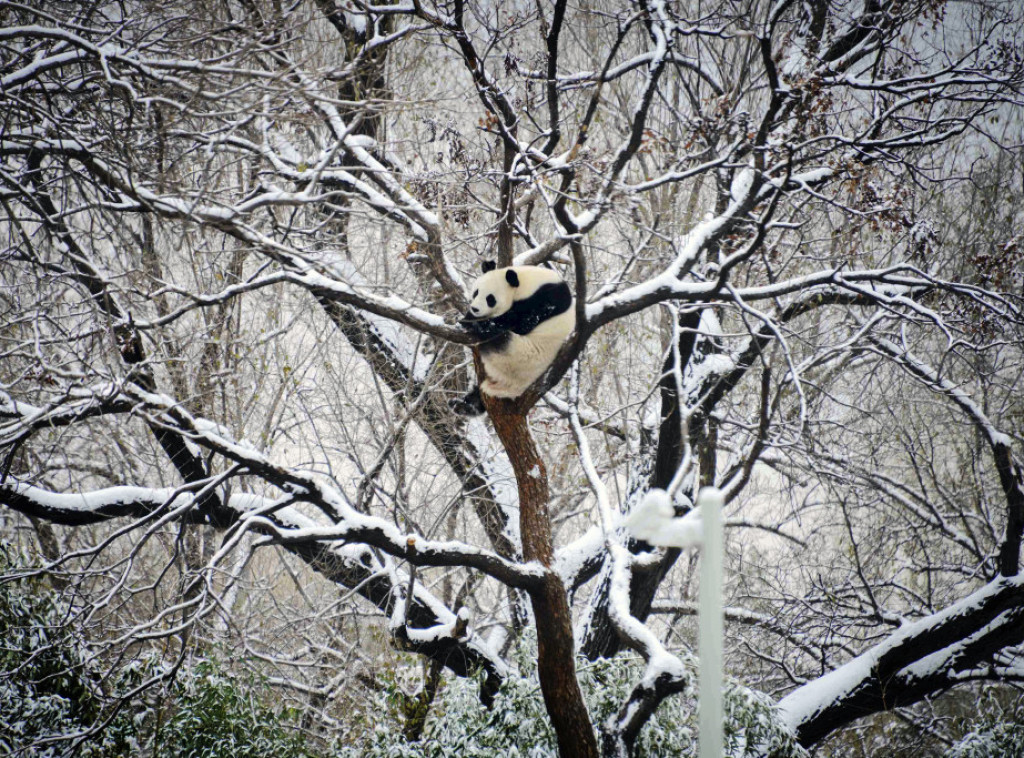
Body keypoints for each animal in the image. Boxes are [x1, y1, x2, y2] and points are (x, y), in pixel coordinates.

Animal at [454, 260, 577, 413]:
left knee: (499, 338)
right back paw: (465, 404)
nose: (475, 309)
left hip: (519, 356)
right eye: (476, 292)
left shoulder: (545, 299)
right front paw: (467, 319)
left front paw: (477, 322)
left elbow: (522, 322)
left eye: (490, 299)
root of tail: (513, 388)